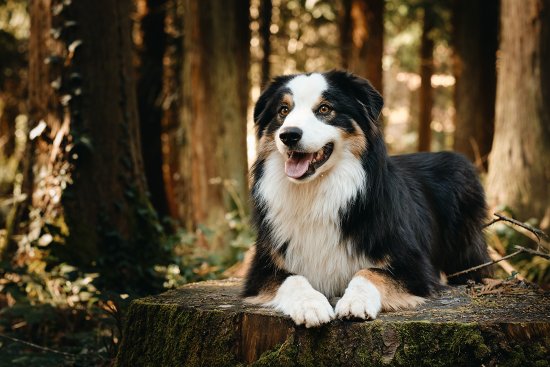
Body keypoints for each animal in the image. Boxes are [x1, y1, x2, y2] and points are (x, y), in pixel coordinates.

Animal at [244, 71, 494, 328]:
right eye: (283, 110)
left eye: (324, 109)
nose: (288, 135)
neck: (316, 192)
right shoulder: (261, 269)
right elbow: (293, 279)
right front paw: (310, 305)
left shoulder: (415, 267)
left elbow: (369, 273)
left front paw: (355, 301)